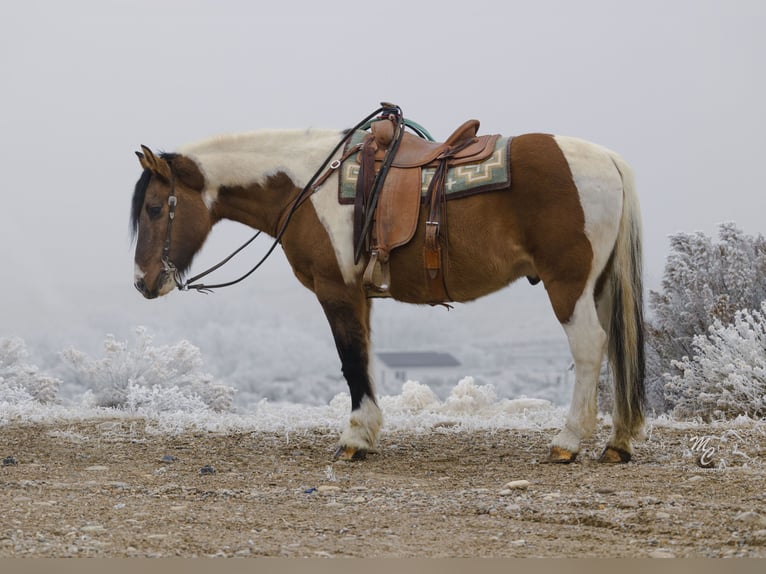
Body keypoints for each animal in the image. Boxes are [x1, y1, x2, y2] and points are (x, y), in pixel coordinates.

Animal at [132, 115, 648, 466]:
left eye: (155, 208)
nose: (142, 282)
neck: (307, 186)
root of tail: (608, 161)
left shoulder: (336, 290)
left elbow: (351, 360)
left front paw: (355, 439)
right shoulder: (361, 297)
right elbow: (364, 357)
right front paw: (368, 432)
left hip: (569, 284)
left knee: (589, 348)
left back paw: (567, 442)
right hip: (598, 285)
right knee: (614, 347)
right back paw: (618, 442)